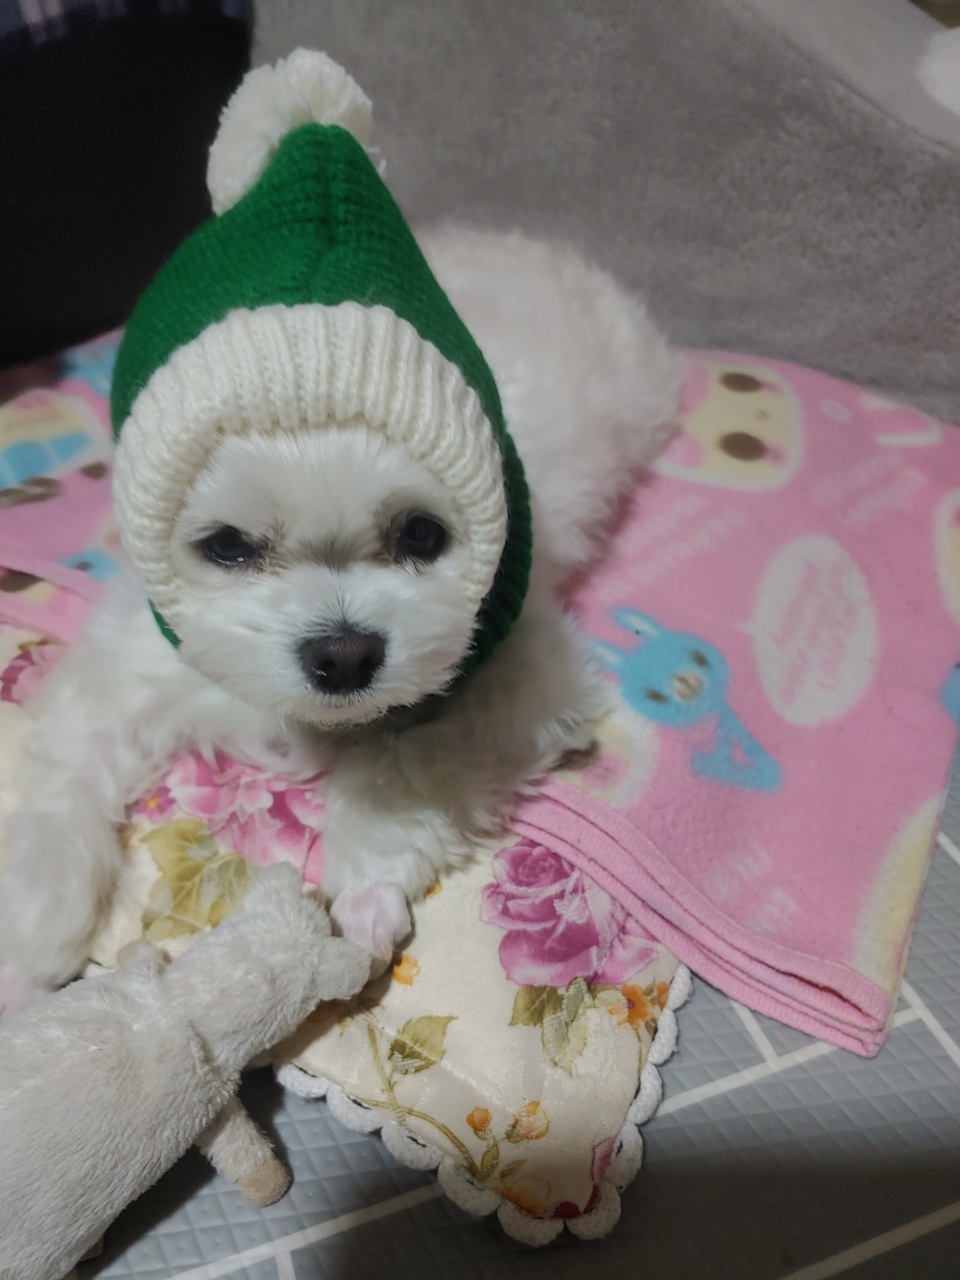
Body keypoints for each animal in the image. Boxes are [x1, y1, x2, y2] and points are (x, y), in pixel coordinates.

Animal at [0, 224, 679, 994]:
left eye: (422, 534)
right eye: (228, 544)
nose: (345, 655)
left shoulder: (531, 678)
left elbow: (402, 763)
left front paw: (364, 889)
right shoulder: (137, 659)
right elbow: (70, 761)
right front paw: (37, 918)